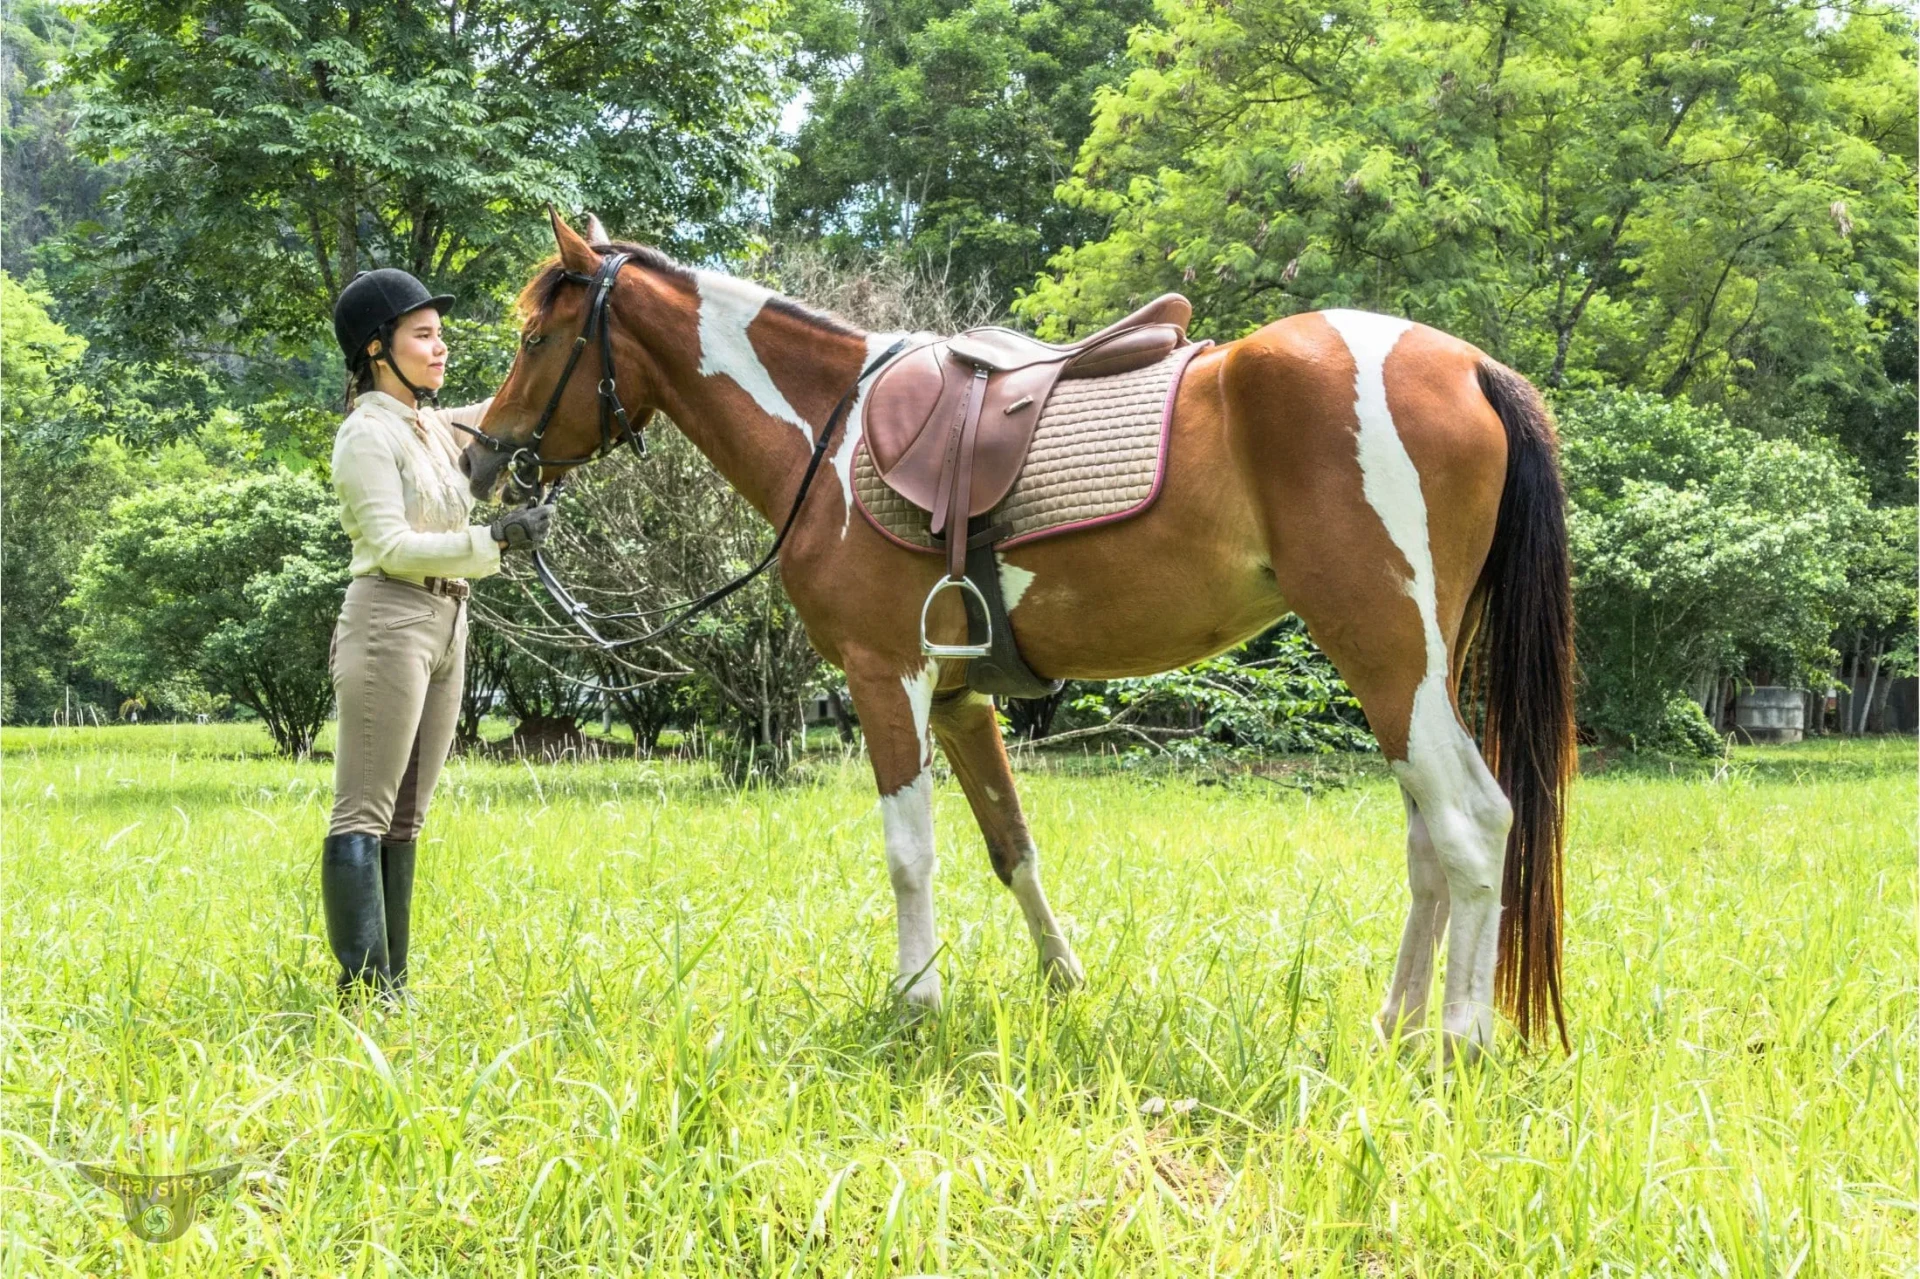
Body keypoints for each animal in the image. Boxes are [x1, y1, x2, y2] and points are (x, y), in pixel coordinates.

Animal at [460, 209, 1576, 1060]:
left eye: (533, 340)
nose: (481, 460)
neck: (831, 432)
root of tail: (1470, 365)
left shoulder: (888, 678)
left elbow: (910, 853)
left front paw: (915, 1004)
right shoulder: (963, 700)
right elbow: (1012, 847)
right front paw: (1063, 982)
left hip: (1388, 660)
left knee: (1475, 823)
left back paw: (1460, 1043)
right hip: (1416, 672)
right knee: (1431, 842)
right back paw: (1394, 1027)